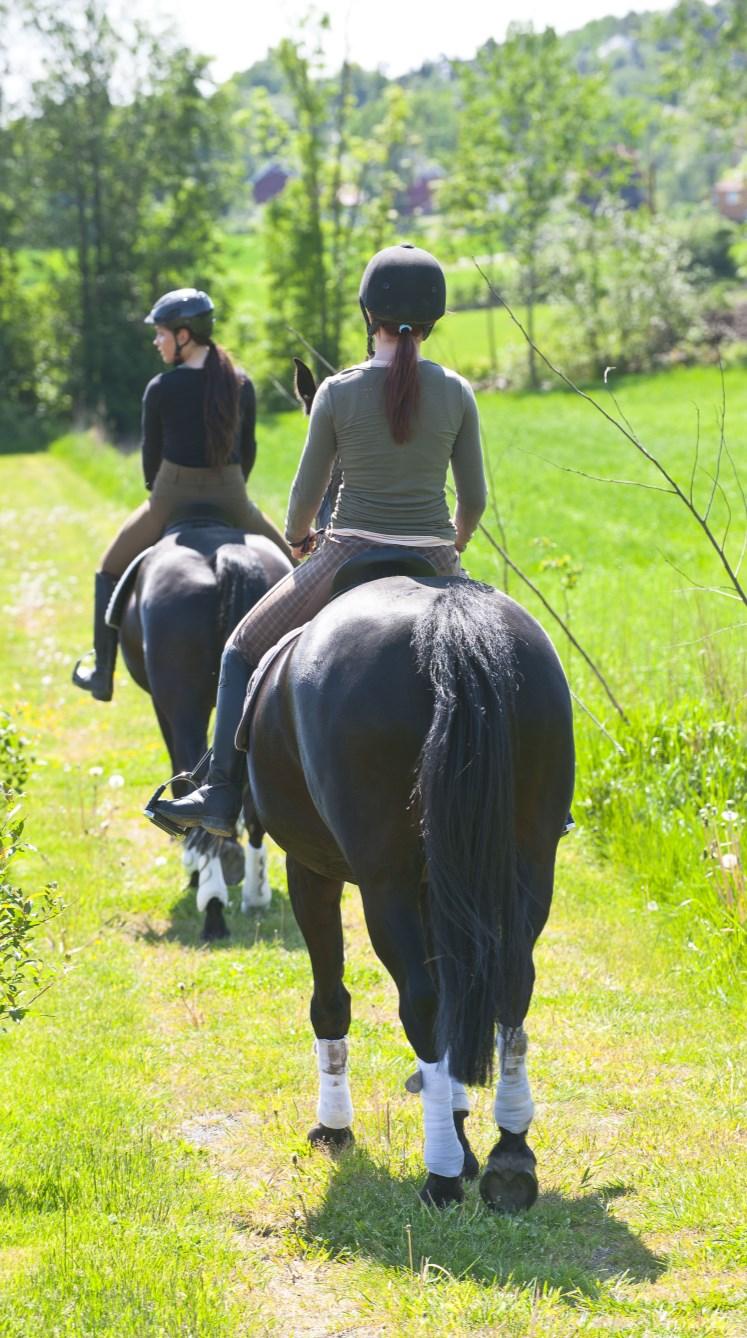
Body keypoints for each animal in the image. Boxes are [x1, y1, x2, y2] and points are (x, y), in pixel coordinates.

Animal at [246, 559, 572, 1209]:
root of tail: (447, 623)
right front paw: (463, 1128)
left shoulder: (311, 868)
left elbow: (330, 999)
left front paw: (335, 1127)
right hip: (528, 862)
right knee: (509, 985)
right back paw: (509, 1157)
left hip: (384, 881)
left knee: (421, 1001)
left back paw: (440, 1175)